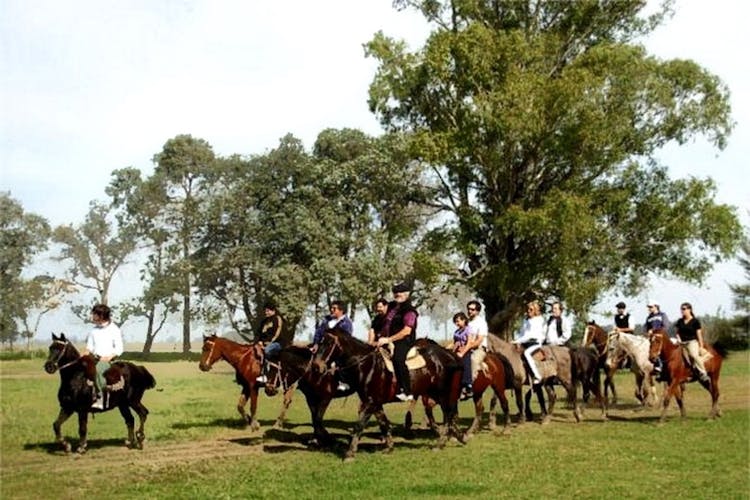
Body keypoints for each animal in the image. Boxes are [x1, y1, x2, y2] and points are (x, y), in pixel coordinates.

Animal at [314, 328, 468, 460]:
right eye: (320, 342)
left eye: (329, 343)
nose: (316, 366)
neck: (366, 365)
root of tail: (451, 355)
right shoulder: (375, 403)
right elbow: (384, 423)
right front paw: (389, 447)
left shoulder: (370, 402)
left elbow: (359, 425)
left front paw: (350, 453)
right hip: (436, 394)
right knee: (450, 414)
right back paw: (459, 436)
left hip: (443, 393)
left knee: (449, 414)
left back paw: (441, 443)